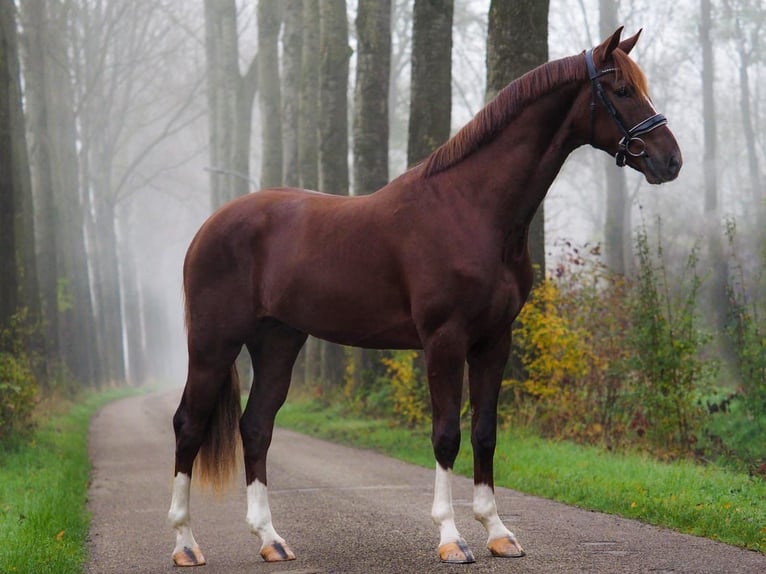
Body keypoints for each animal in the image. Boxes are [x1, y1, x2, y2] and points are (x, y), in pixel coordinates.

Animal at [167, 27, 681, 566]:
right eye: (621, 90)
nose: (670, 160)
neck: (471, 209)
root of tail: (210, 226)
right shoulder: (444, 341)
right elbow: (446, 435)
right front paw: (452, 538)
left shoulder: (495, 341)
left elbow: (484, 432)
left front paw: (498, 532)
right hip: (214, 342)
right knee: (189, 424)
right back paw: (186, 544)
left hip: (278, 341)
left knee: (256, 427)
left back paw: (271, 540)